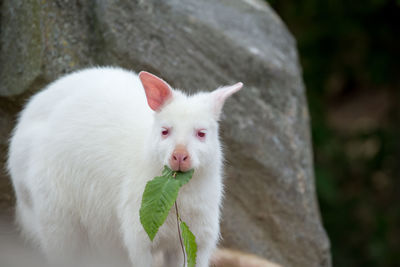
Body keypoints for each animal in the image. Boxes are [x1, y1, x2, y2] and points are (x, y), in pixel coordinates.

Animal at [6, 67, 242, 267]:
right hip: (55, 212)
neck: (176, 189)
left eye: (201, 133)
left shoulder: (197, 239)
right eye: (165, 131)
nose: (179, 156)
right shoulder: (139, 230)